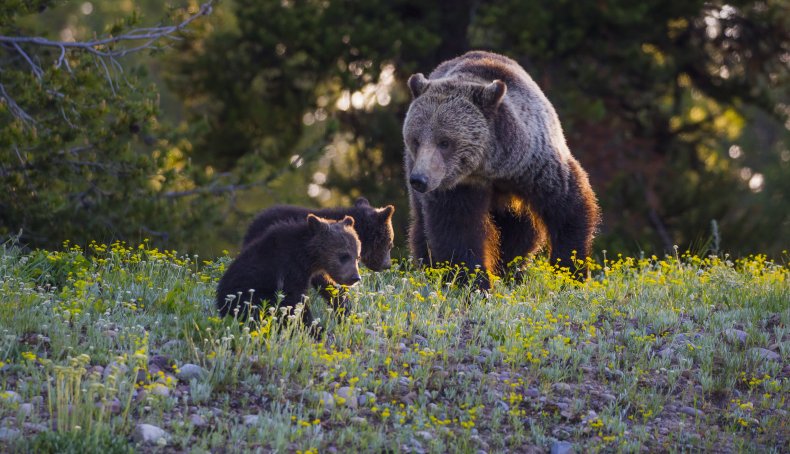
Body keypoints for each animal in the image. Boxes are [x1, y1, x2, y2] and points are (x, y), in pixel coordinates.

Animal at [406, 51, 604, 286]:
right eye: (416, 140)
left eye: (444, 142)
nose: (419, 179)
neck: (490, 166)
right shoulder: (457, 186)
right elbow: (457, 229)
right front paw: (474, 281)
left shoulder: (535, 166)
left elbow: (569, 208)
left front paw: (570, 273)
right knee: (422, 227)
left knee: (521, 231)